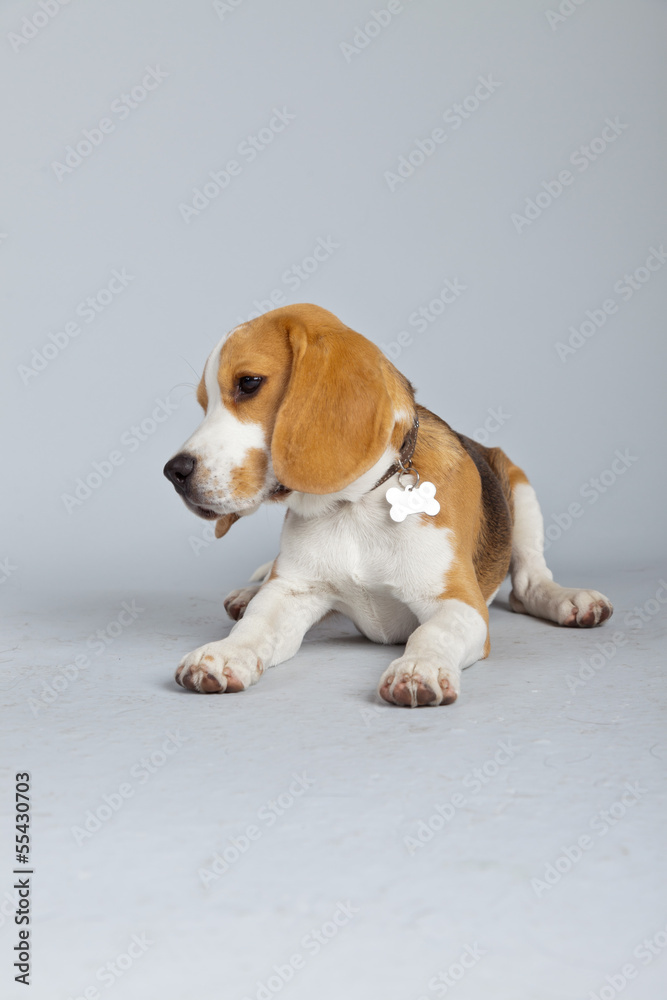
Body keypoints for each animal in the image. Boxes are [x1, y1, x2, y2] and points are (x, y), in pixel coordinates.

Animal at [164, 302, 612, 704]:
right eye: (204, 405)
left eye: (249, 383)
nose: (174, 472)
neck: (352, 505)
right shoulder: (292, 592)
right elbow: (256, 625)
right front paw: (224, 653)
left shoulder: (459, 603)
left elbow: (432, 632)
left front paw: (418, 668)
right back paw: (246, 593)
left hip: (519, 486)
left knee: (529, 583)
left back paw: (569, 599)